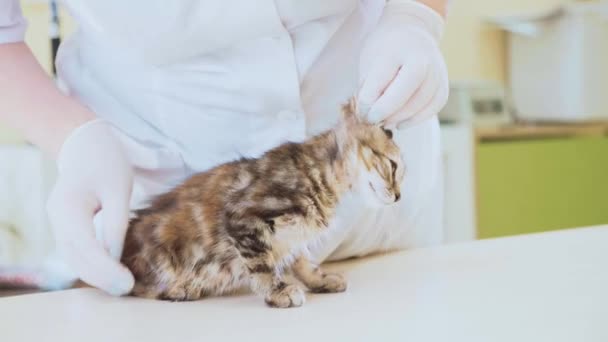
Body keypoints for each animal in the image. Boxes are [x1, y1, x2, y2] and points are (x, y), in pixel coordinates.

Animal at [119, 98, 406, 308]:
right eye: (392, 166)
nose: (398, 196)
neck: (320, 174)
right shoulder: (242, 218)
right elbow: (262, 265)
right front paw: (279, 292)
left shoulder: (290, 237)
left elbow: (302, 260)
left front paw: (319, 280)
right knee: (135, 288)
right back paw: (181, 288)